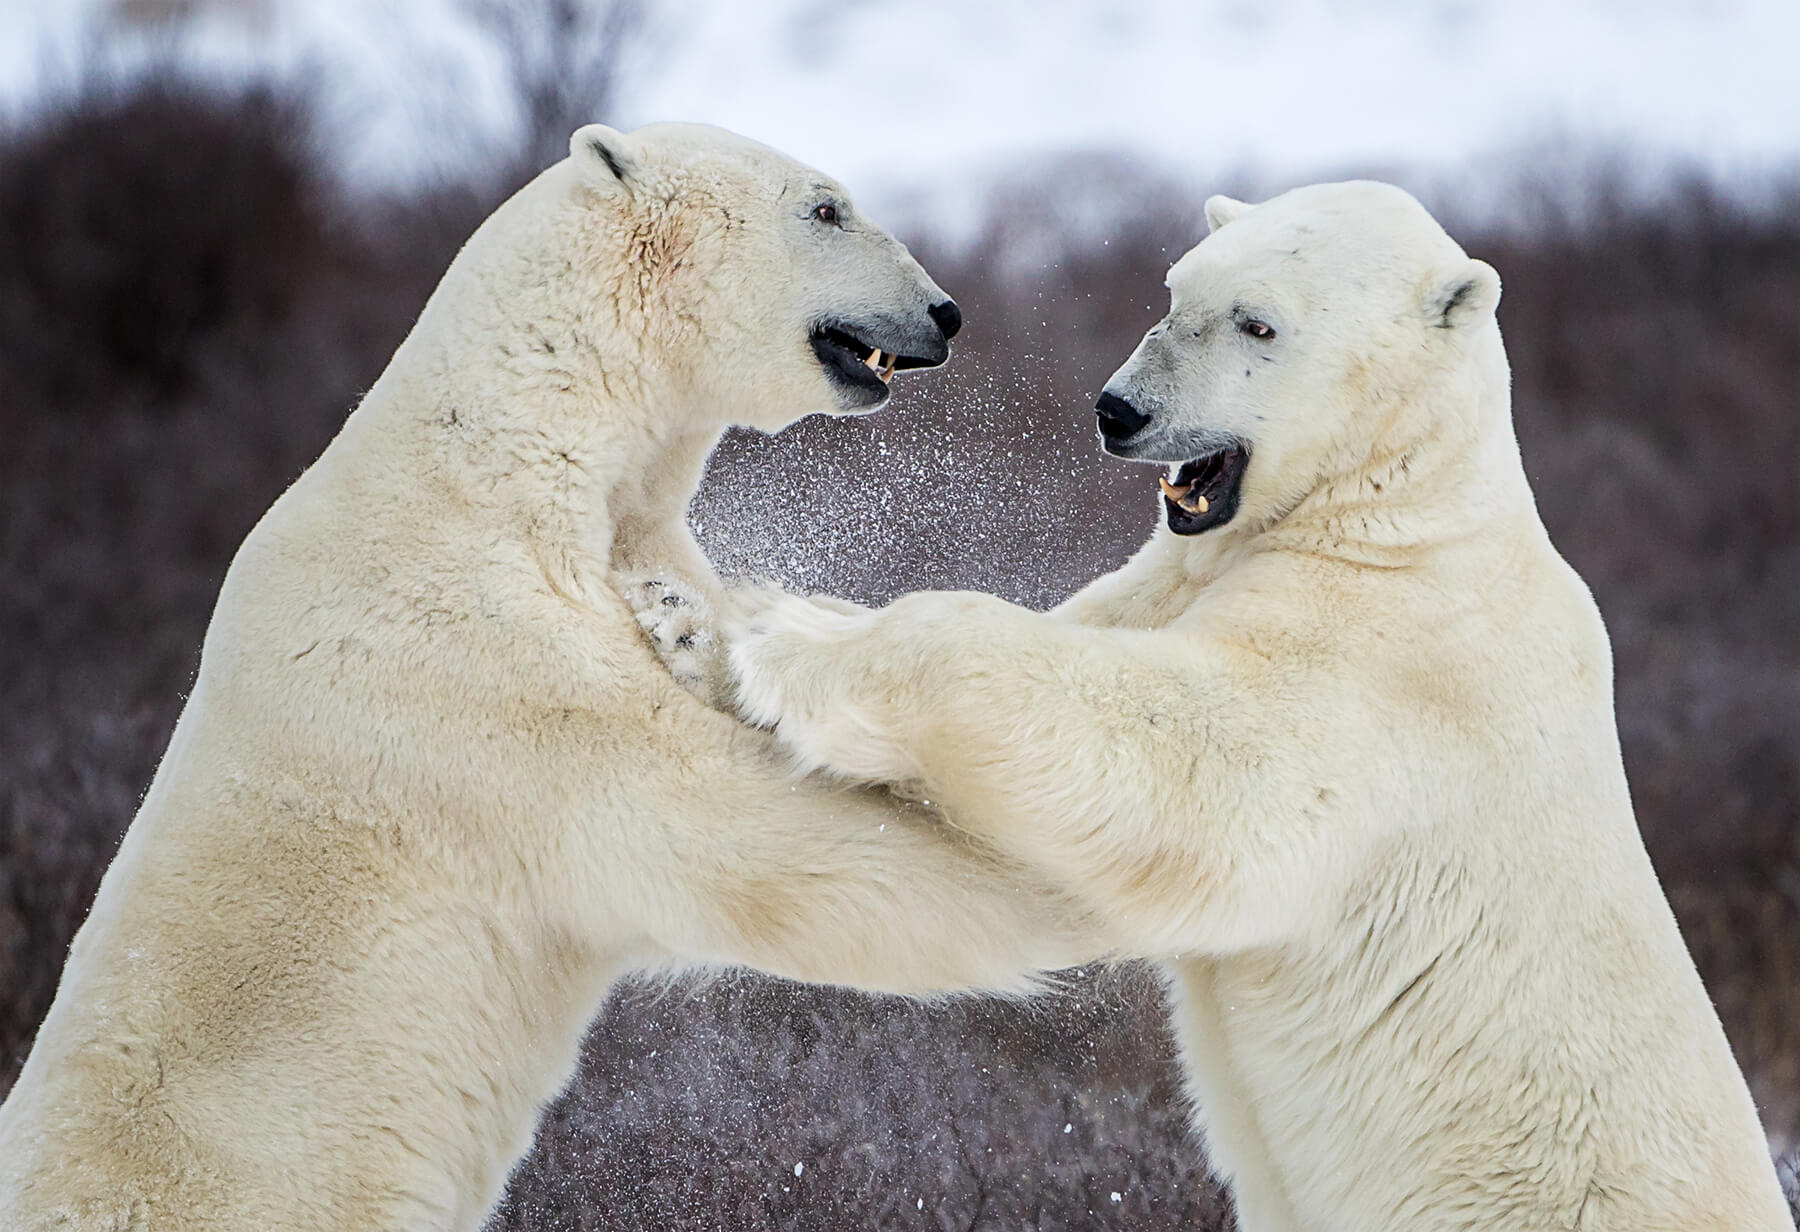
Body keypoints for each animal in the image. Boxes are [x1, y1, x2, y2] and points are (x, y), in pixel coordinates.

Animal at [723, 182, 1792, 1232]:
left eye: (1258, 323)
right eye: (1174, 292)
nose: (1118, 410)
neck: (1397, 513)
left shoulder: (1389, 668)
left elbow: (1212, 778)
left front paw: (782, 636)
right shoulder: (1186, 571)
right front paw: (779, 604)